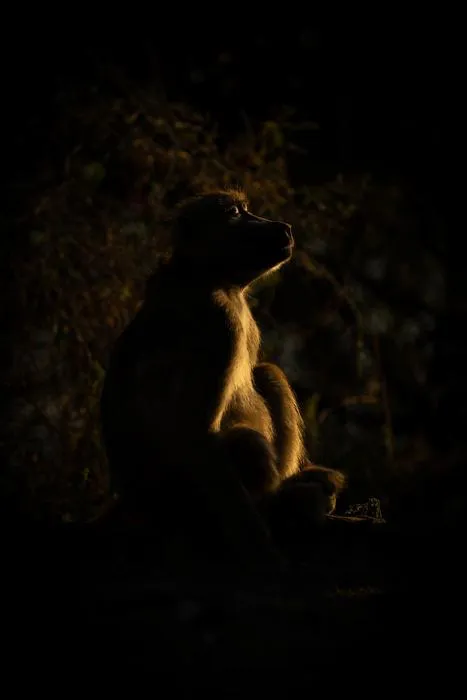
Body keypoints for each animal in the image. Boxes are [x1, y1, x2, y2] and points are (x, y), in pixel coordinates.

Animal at [100, 189, 346, 565]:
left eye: (246, 210)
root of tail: (137, 503)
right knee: (245, 444)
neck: (206, 276)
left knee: (268, 373)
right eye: (234, 213)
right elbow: (198, 433)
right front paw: (263, 553)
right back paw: (285, 502)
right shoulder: (220, 322)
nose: (282, 227)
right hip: (187, 503)